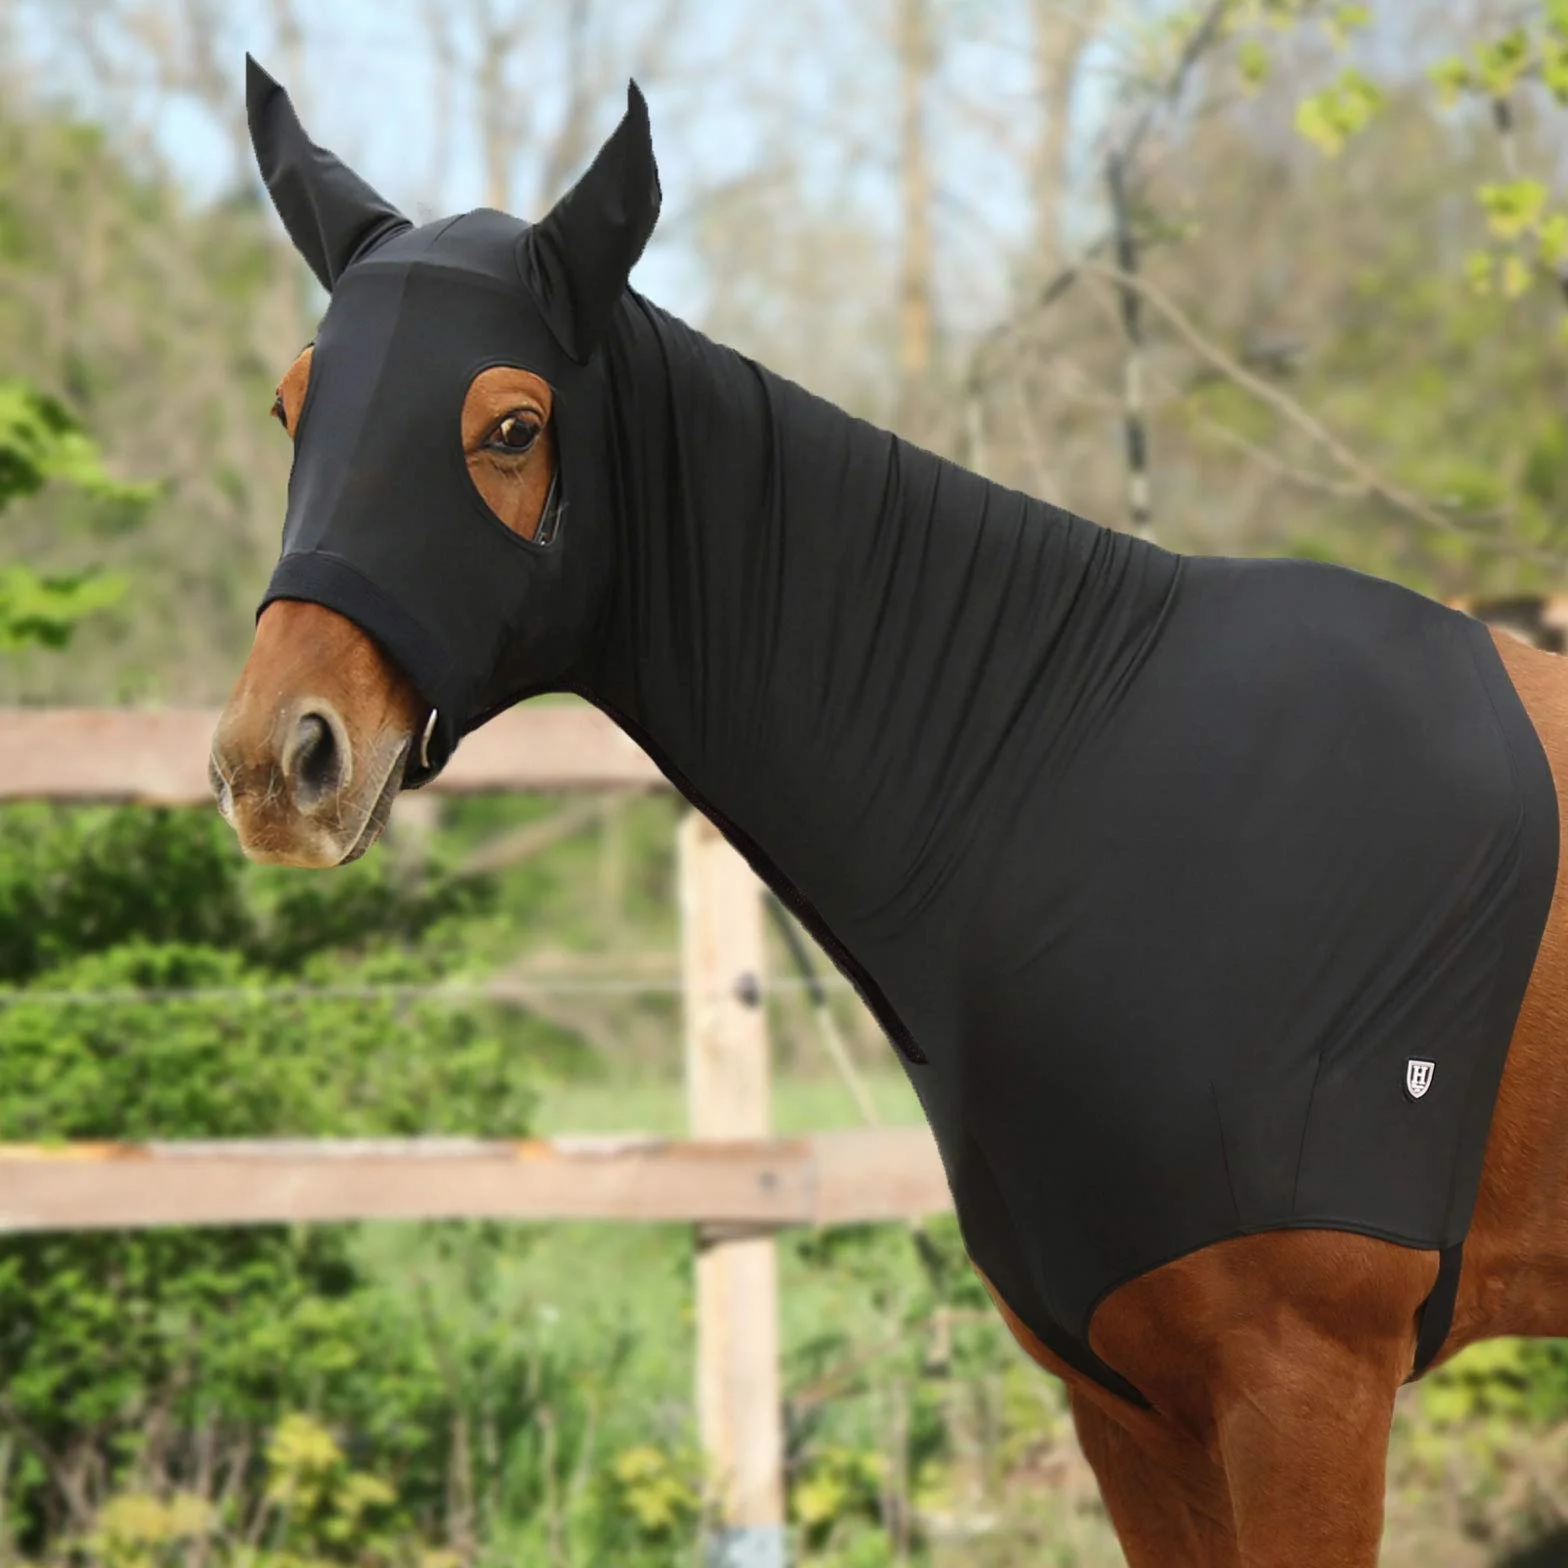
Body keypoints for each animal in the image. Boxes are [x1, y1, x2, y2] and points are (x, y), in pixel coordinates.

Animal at [210, 60, 1568, 1566]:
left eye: (511, 427)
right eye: (290, 408)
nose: (278, 763)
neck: (1077, 780)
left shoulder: (1306, 1379)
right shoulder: (1132, 1404)